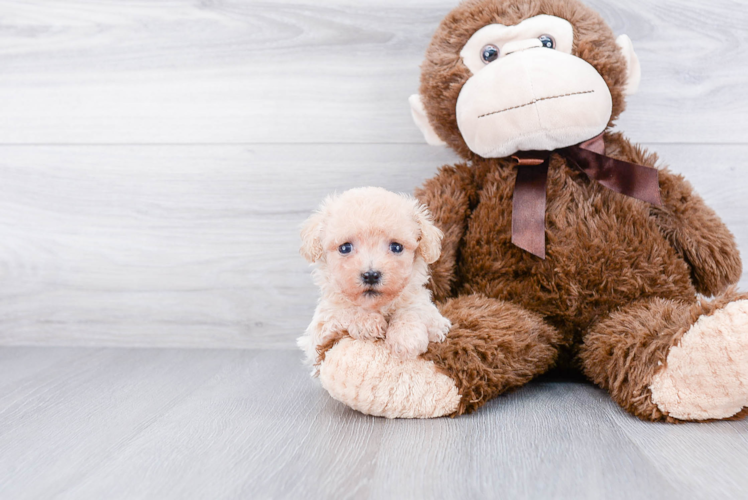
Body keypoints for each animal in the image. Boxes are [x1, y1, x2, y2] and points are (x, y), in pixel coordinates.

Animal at [296, 186, 450, 366]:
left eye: (396, 247)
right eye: (345, 248)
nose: (370, 275)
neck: (377, 306)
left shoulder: (432, 315)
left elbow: (413, 310)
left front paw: (407, 337)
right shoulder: (320, 331)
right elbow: (344, 311)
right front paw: (367, 322)